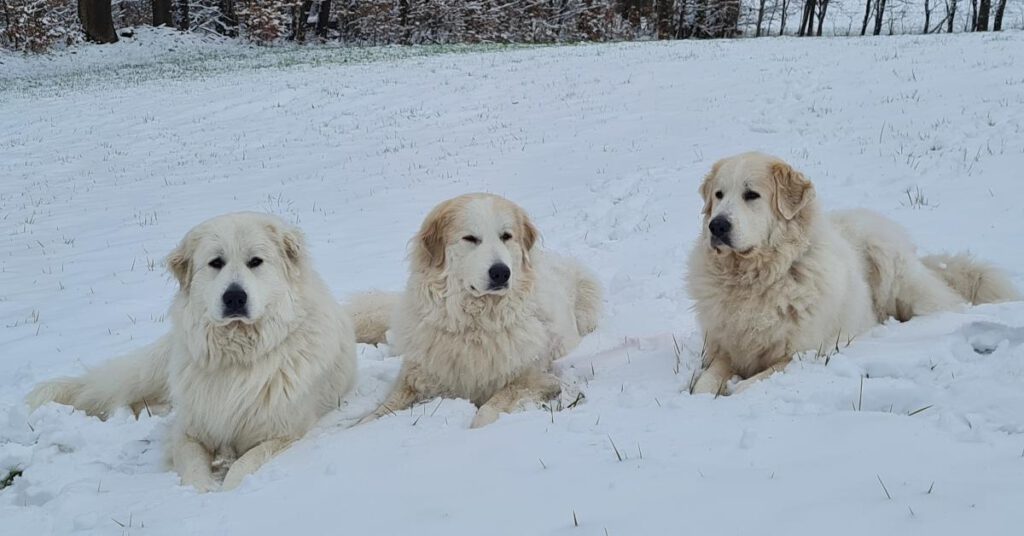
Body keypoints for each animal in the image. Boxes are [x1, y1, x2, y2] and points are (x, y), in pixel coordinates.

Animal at [27, 212, 356, 493]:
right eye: (216, 263)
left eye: (255, 261)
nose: (234, 297)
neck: (239, 353)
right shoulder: (189, 431)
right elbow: (192, 466)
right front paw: (202, 490)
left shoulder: (283, 433)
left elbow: (245, 463)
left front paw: (228, 488)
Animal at [350, 192, 598, 428]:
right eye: (470, 238)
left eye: (506, 236)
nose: (501, 272)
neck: (475, 322)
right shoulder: (415, 378)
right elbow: (373, 416)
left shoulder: (533, 378)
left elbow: (486, 411)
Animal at [688, 150, 1015, 393]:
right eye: (718, 195)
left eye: (751, 195)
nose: (717, 226)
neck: (757, 277)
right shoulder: (725, 348)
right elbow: (705, 383)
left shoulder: (801, 353)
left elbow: (749, 385)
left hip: (890, 264)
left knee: (941, 304)